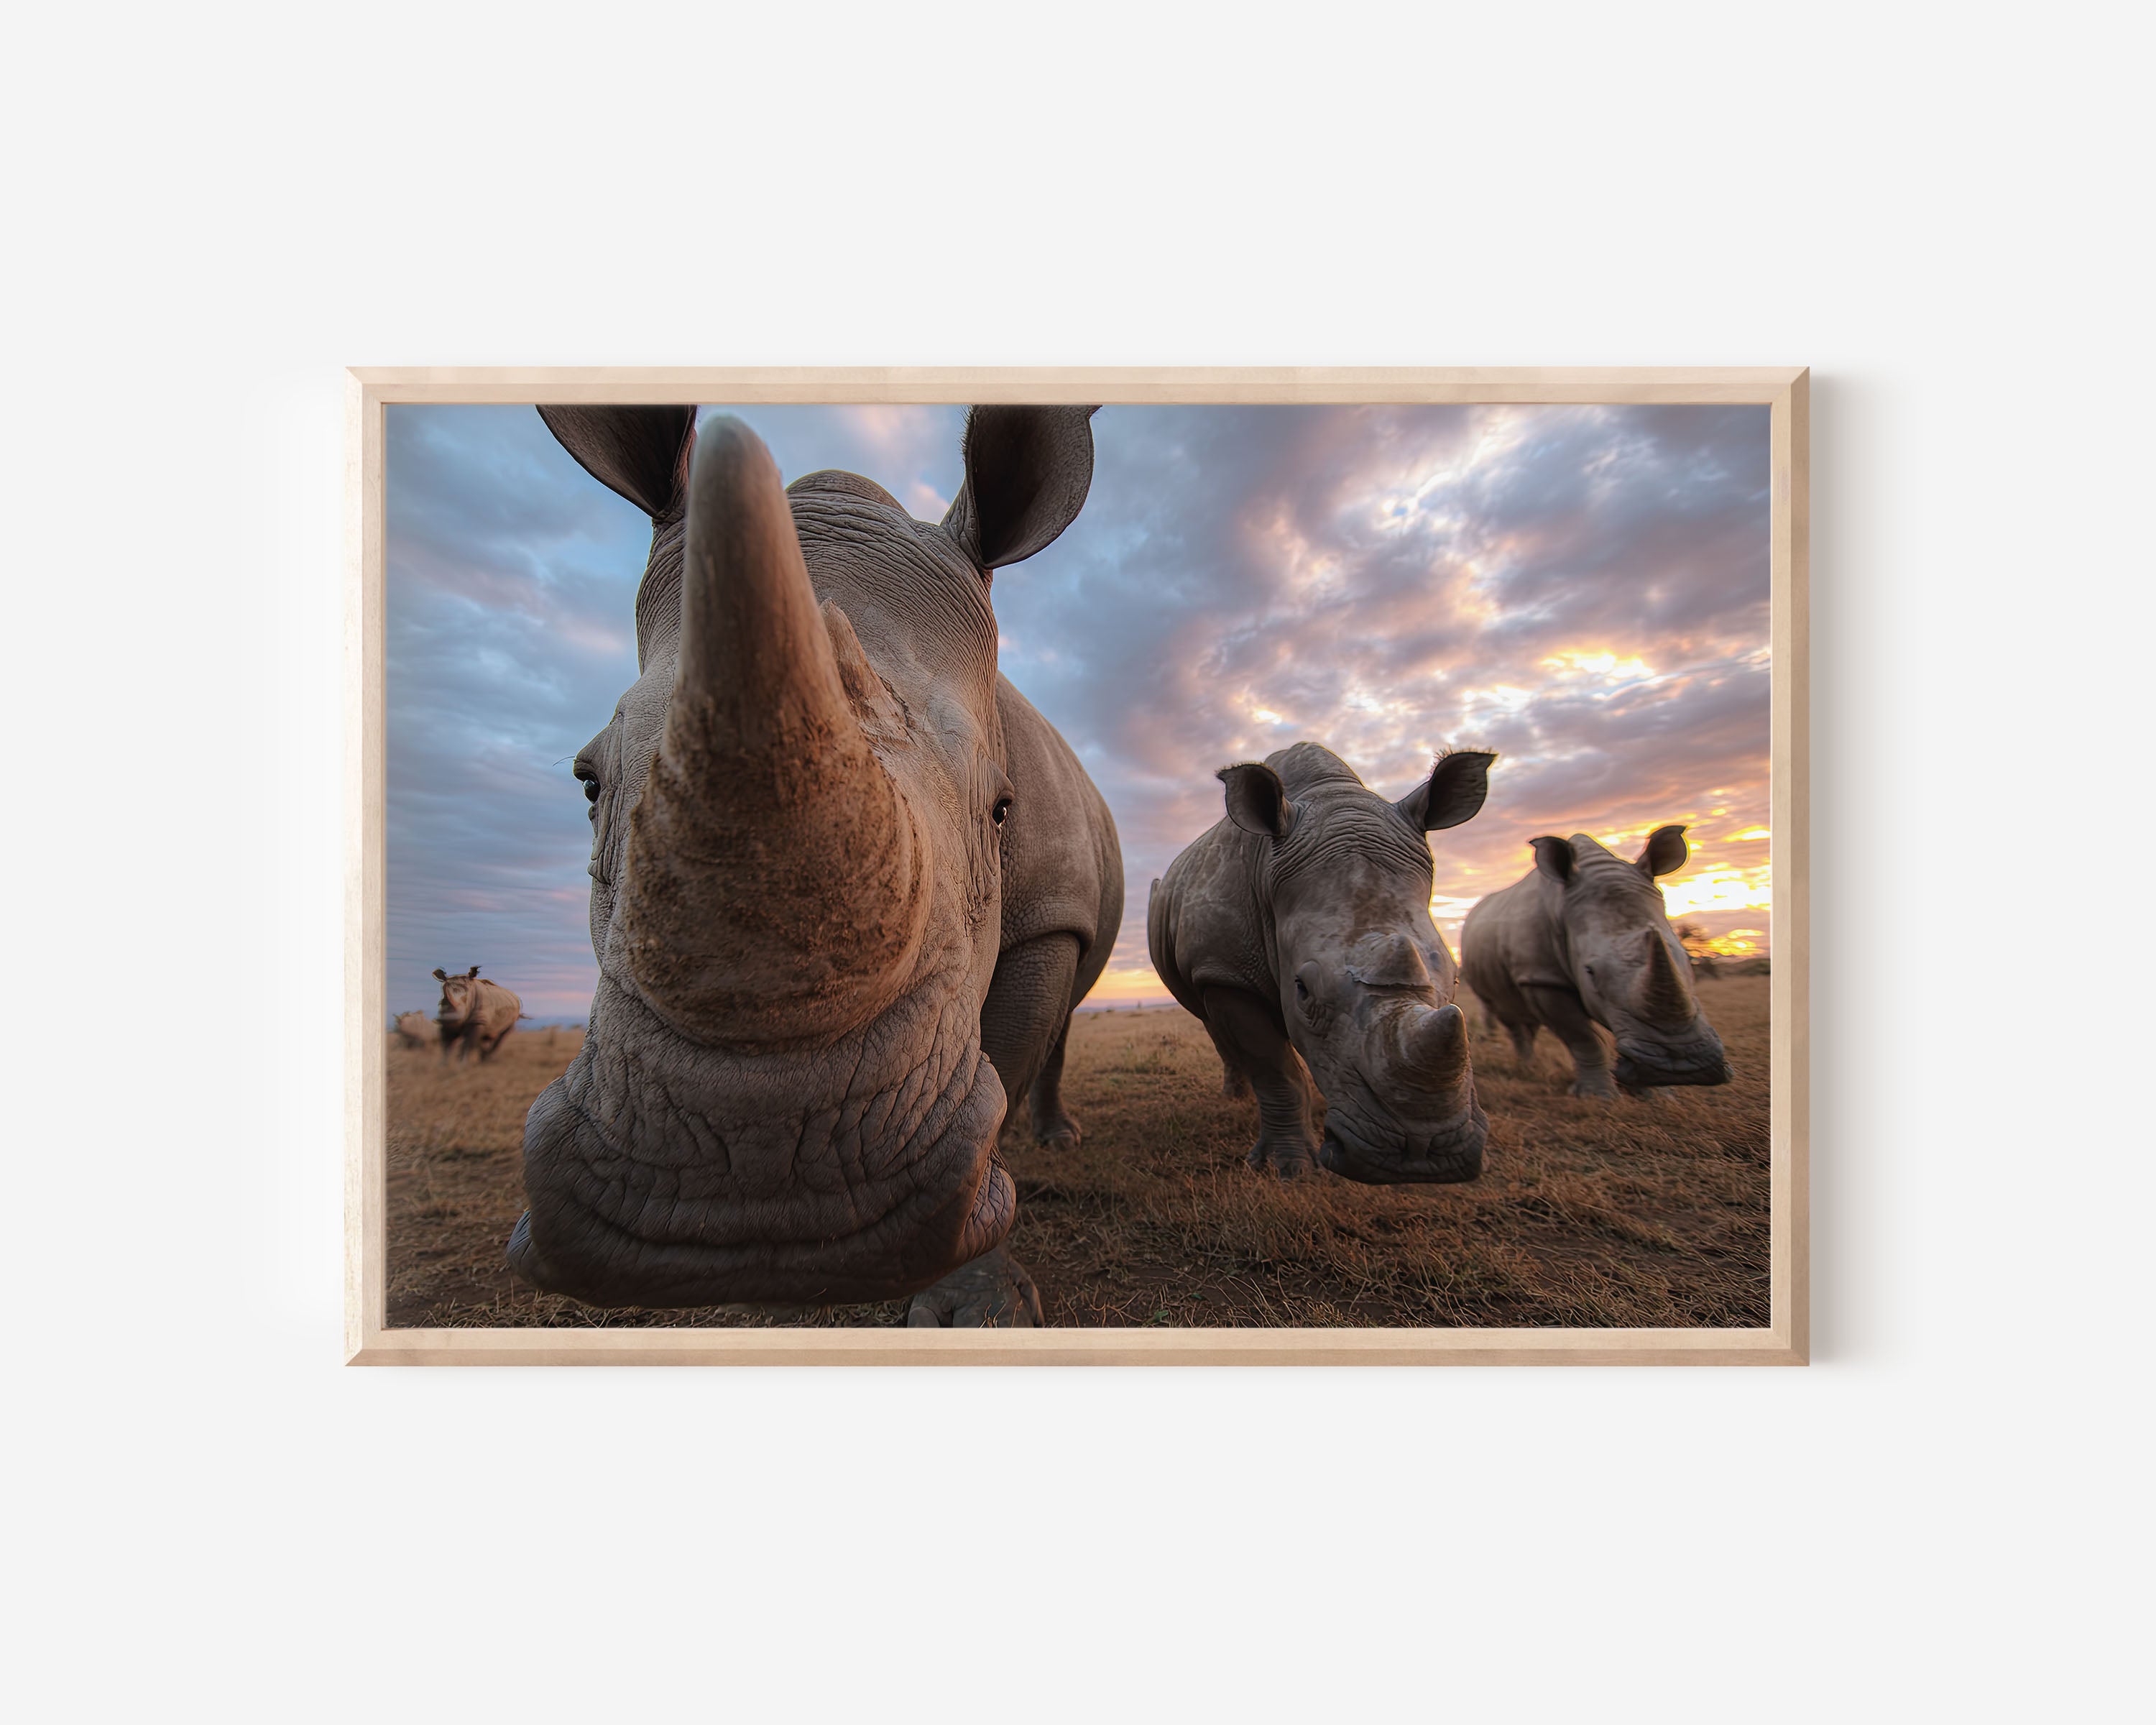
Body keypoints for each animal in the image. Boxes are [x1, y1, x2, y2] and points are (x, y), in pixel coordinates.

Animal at [433, 966, 521, 1064]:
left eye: (465, 1001)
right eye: (440, 1003)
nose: (449, 1018)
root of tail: (515, 997)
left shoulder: (477, 1021)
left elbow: (468, 1043)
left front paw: (462, 1064)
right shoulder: (444, 1023)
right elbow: (445, 1044)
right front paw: (443, 1065)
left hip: (515, 1014)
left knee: (502, 1035)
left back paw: (488, 1060)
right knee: (485, 1036)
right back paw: (484, 1059)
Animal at [506, 404, 1121, 1322]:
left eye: (1003, 810)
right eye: (586, 782)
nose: (761, 1164)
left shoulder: (1050, 915)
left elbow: (1005, 1074)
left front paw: (978, 1309)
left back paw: (1060, 1141)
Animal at [1147, 742, 1497, 1183]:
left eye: (1455, 980)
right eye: (1303, 990)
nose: (1419, 1155)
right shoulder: (1226, 970)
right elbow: (1276, 1070)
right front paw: (1289, 1168)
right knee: (1209, 1019)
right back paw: (1235, 1098)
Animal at [1460, 826, 1732, 1098]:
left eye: (1687, 959)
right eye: (1590, 972)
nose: (1682, 1066)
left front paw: (1657, 1095)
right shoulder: (1543, 978)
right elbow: (1584, 1037)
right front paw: (1597, 1096)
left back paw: (1529, 1067)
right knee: (1505, 1014)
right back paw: (1526, 1068)